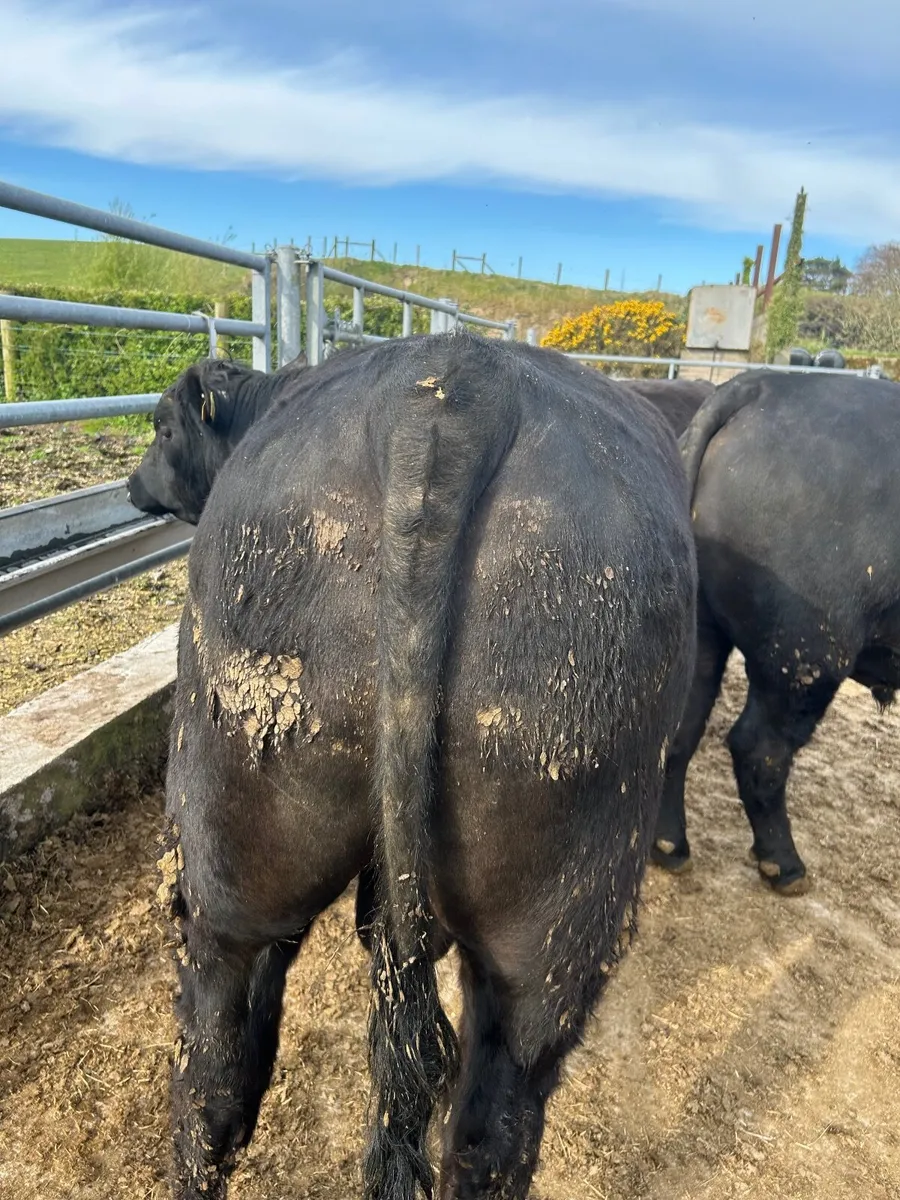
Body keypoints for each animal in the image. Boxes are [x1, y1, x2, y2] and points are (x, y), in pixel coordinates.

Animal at [651, 368, 900, 895]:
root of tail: (761, 385)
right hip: (806, 652)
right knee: (760, 749)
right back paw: (783, 865)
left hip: (705, 633)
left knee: (682, 728)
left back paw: (670, 845)